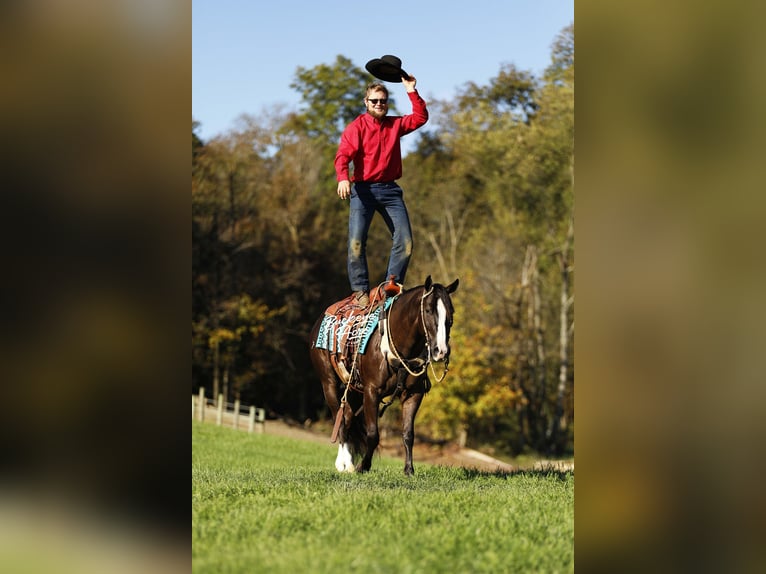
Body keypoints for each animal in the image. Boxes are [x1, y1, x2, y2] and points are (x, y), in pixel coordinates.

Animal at [309, 275, 459, 475]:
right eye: (428, 310)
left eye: (451, 312)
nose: (440, 351)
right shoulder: (371, 391)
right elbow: (373, 434)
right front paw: (363, 466)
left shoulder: (413, 394)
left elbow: (408, 434)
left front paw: (409, 470)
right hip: (329, 384)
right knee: (340, 420)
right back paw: (344, 463)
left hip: (354, 390)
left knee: (348, 416)